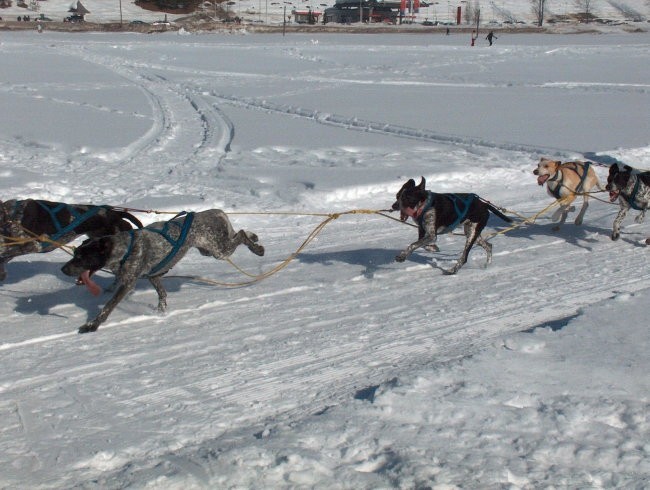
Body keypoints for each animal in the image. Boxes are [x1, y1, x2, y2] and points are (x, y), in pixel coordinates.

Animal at [60, 209, 264, 332]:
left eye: (82, 257)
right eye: (75, 253)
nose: (63, 269)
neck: (124, 248)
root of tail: (215, 212)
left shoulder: (127, 283)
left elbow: (108, 307)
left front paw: (92, 324)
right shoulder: (154, 275)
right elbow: (162, 294)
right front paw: (161, 312)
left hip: (219, 251)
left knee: (242, 234)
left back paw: (257, 247)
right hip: (210, 249)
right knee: (238, 233)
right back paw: (254, 237)